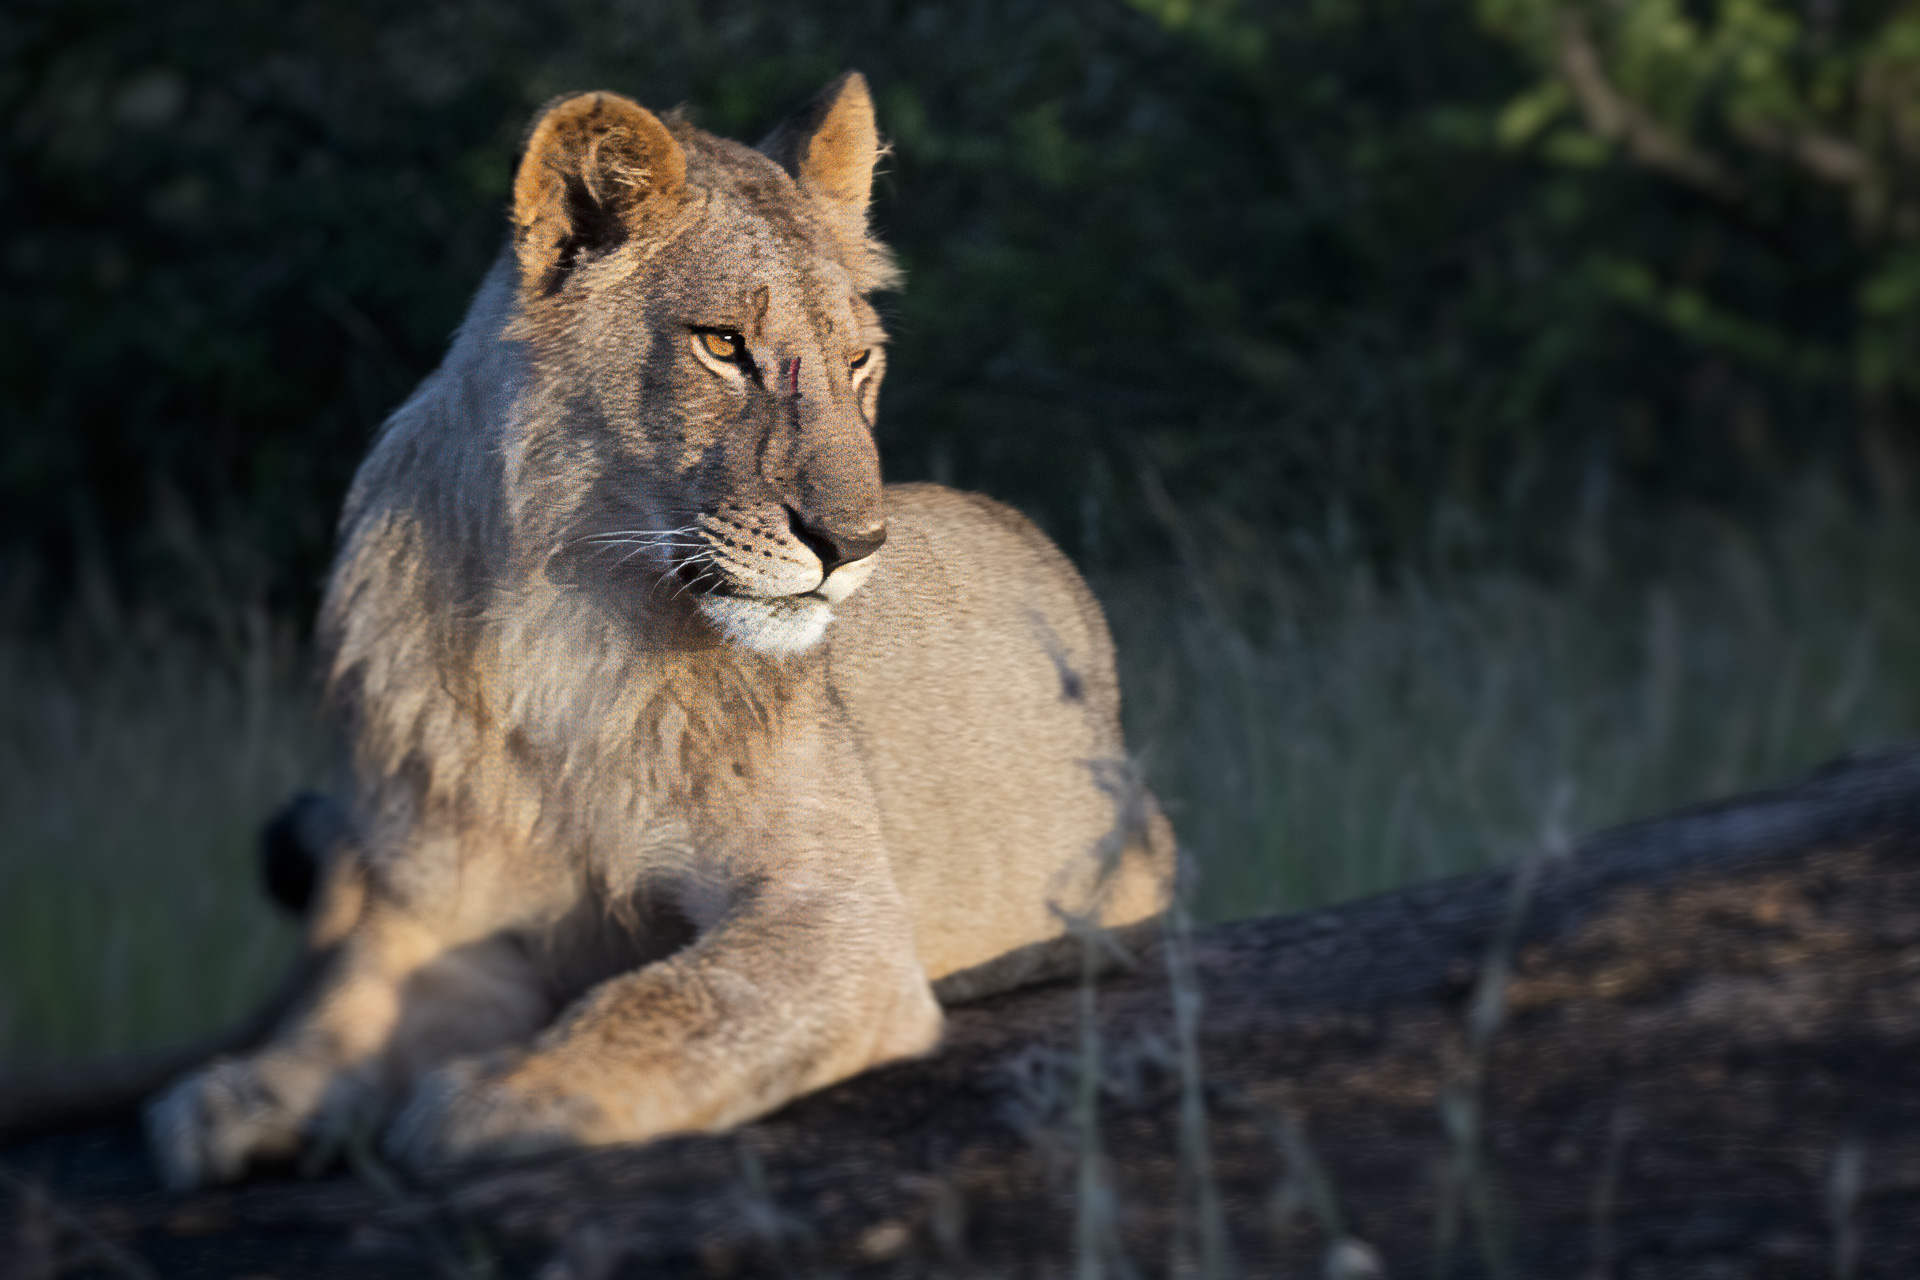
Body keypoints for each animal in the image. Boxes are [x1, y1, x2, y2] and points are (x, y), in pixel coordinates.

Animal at [144, 71, 1175, 1188]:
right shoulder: (441, 909)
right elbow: (344, 1016)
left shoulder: (838, 915)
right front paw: (245, 1096)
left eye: (859, 360)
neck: (569, 618)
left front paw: (512, 1092)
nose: (855, 543)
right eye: (723, 345)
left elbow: (674, 995)